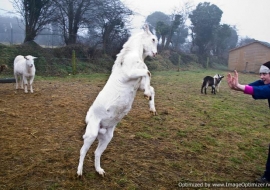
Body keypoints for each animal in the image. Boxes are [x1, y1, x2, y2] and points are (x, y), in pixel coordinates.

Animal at [76, 24, 158, 177]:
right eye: (153, 39)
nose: (155, 53)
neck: (133, 54)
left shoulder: (138, 83)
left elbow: (151, 86)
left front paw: (151, 106)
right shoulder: (129, 74)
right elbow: (147, 72)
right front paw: (147, 95)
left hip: (107, 137)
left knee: (97, 153)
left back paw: (100, 171)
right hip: (91, 134)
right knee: (83, 150)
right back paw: (79, 172)